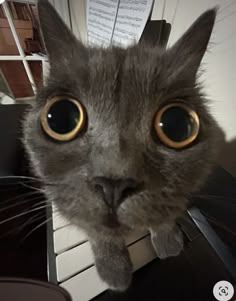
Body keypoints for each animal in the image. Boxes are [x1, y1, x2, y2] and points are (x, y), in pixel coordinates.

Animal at [22, 0, 221, 290]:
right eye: (59, 117)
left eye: (176, 124)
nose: (114, 184)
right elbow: (98, 232)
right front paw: (114, 270)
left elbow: (166, 213)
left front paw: (168, 241)